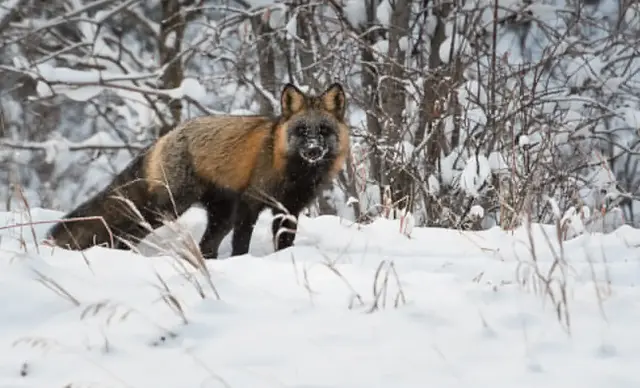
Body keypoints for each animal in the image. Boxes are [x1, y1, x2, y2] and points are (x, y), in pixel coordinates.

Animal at [46, 82, 350, 260]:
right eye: (302, 131)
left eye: (323, 131)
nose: (313, 150)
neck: (294, 173)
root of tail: (164, 137)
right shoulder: (250, 204)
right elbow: (241, 244)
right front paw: (241, 263)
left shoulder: (288, 209)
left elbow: (284, 243)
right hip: (168, 208)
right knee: (128, 234)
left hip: (220, 216)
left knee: (206, 247)